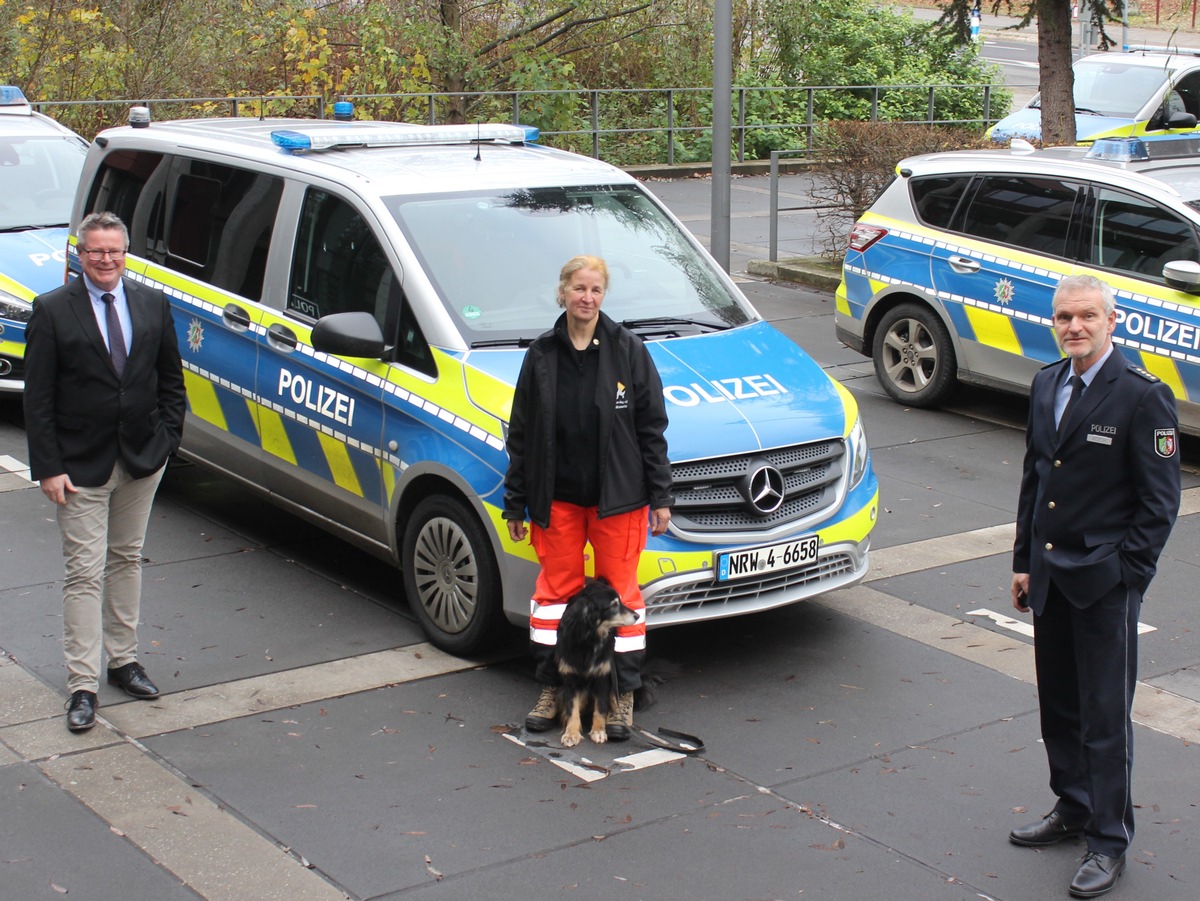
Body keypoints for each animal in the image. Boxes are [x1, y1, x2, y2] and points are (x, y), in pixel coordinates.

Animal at [556, 578, 643, 748]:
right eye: (613, 604)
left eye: (620, 601)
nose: (637, 615)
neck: (589, 640)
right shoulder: (570, 678)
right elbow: (571, 708)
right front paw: (571, 733)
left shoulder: (602, 676)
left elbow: (600, 707)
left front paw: (598, 731)